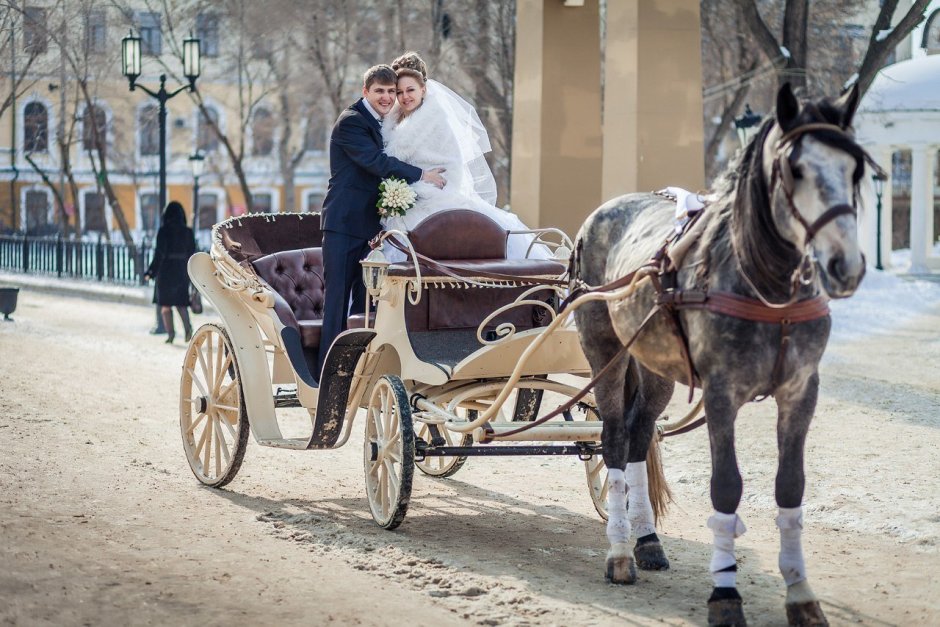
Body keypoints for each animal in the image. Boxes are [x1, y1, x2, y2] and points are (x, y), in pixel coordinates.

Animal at [568, 84, 872, 627]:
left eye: (854, 168)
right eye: (795, 169)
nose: (845, 265)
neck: (768, 289)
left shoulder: (801, 391)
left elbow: (790, 486)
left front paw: (801, 594)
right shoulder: (722, 393)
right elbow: (726, 487)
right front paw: (725, 594)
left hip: (655, 365)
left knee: (639, 435)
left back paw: (646, 539)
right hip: (606, 352)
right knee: (614, 438)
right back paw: (620, 552)